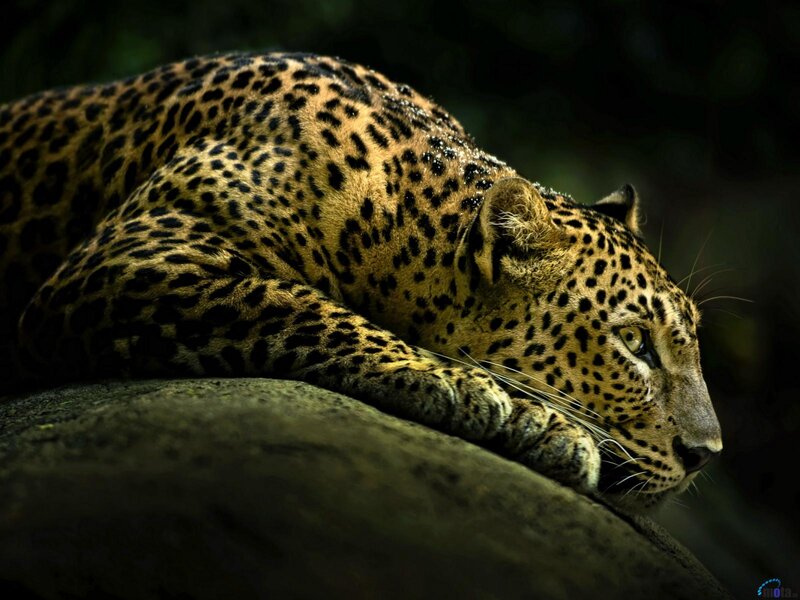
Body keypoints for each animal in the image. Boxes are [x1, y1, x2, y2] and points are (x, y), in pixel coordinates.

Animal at [0, 51, 722, 510]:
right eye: (635, 344)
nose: (706, 454)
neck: (393, 219)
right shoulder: (137, 253)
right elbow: (295, 302)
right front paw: (468, 388)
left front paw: (537, 422)